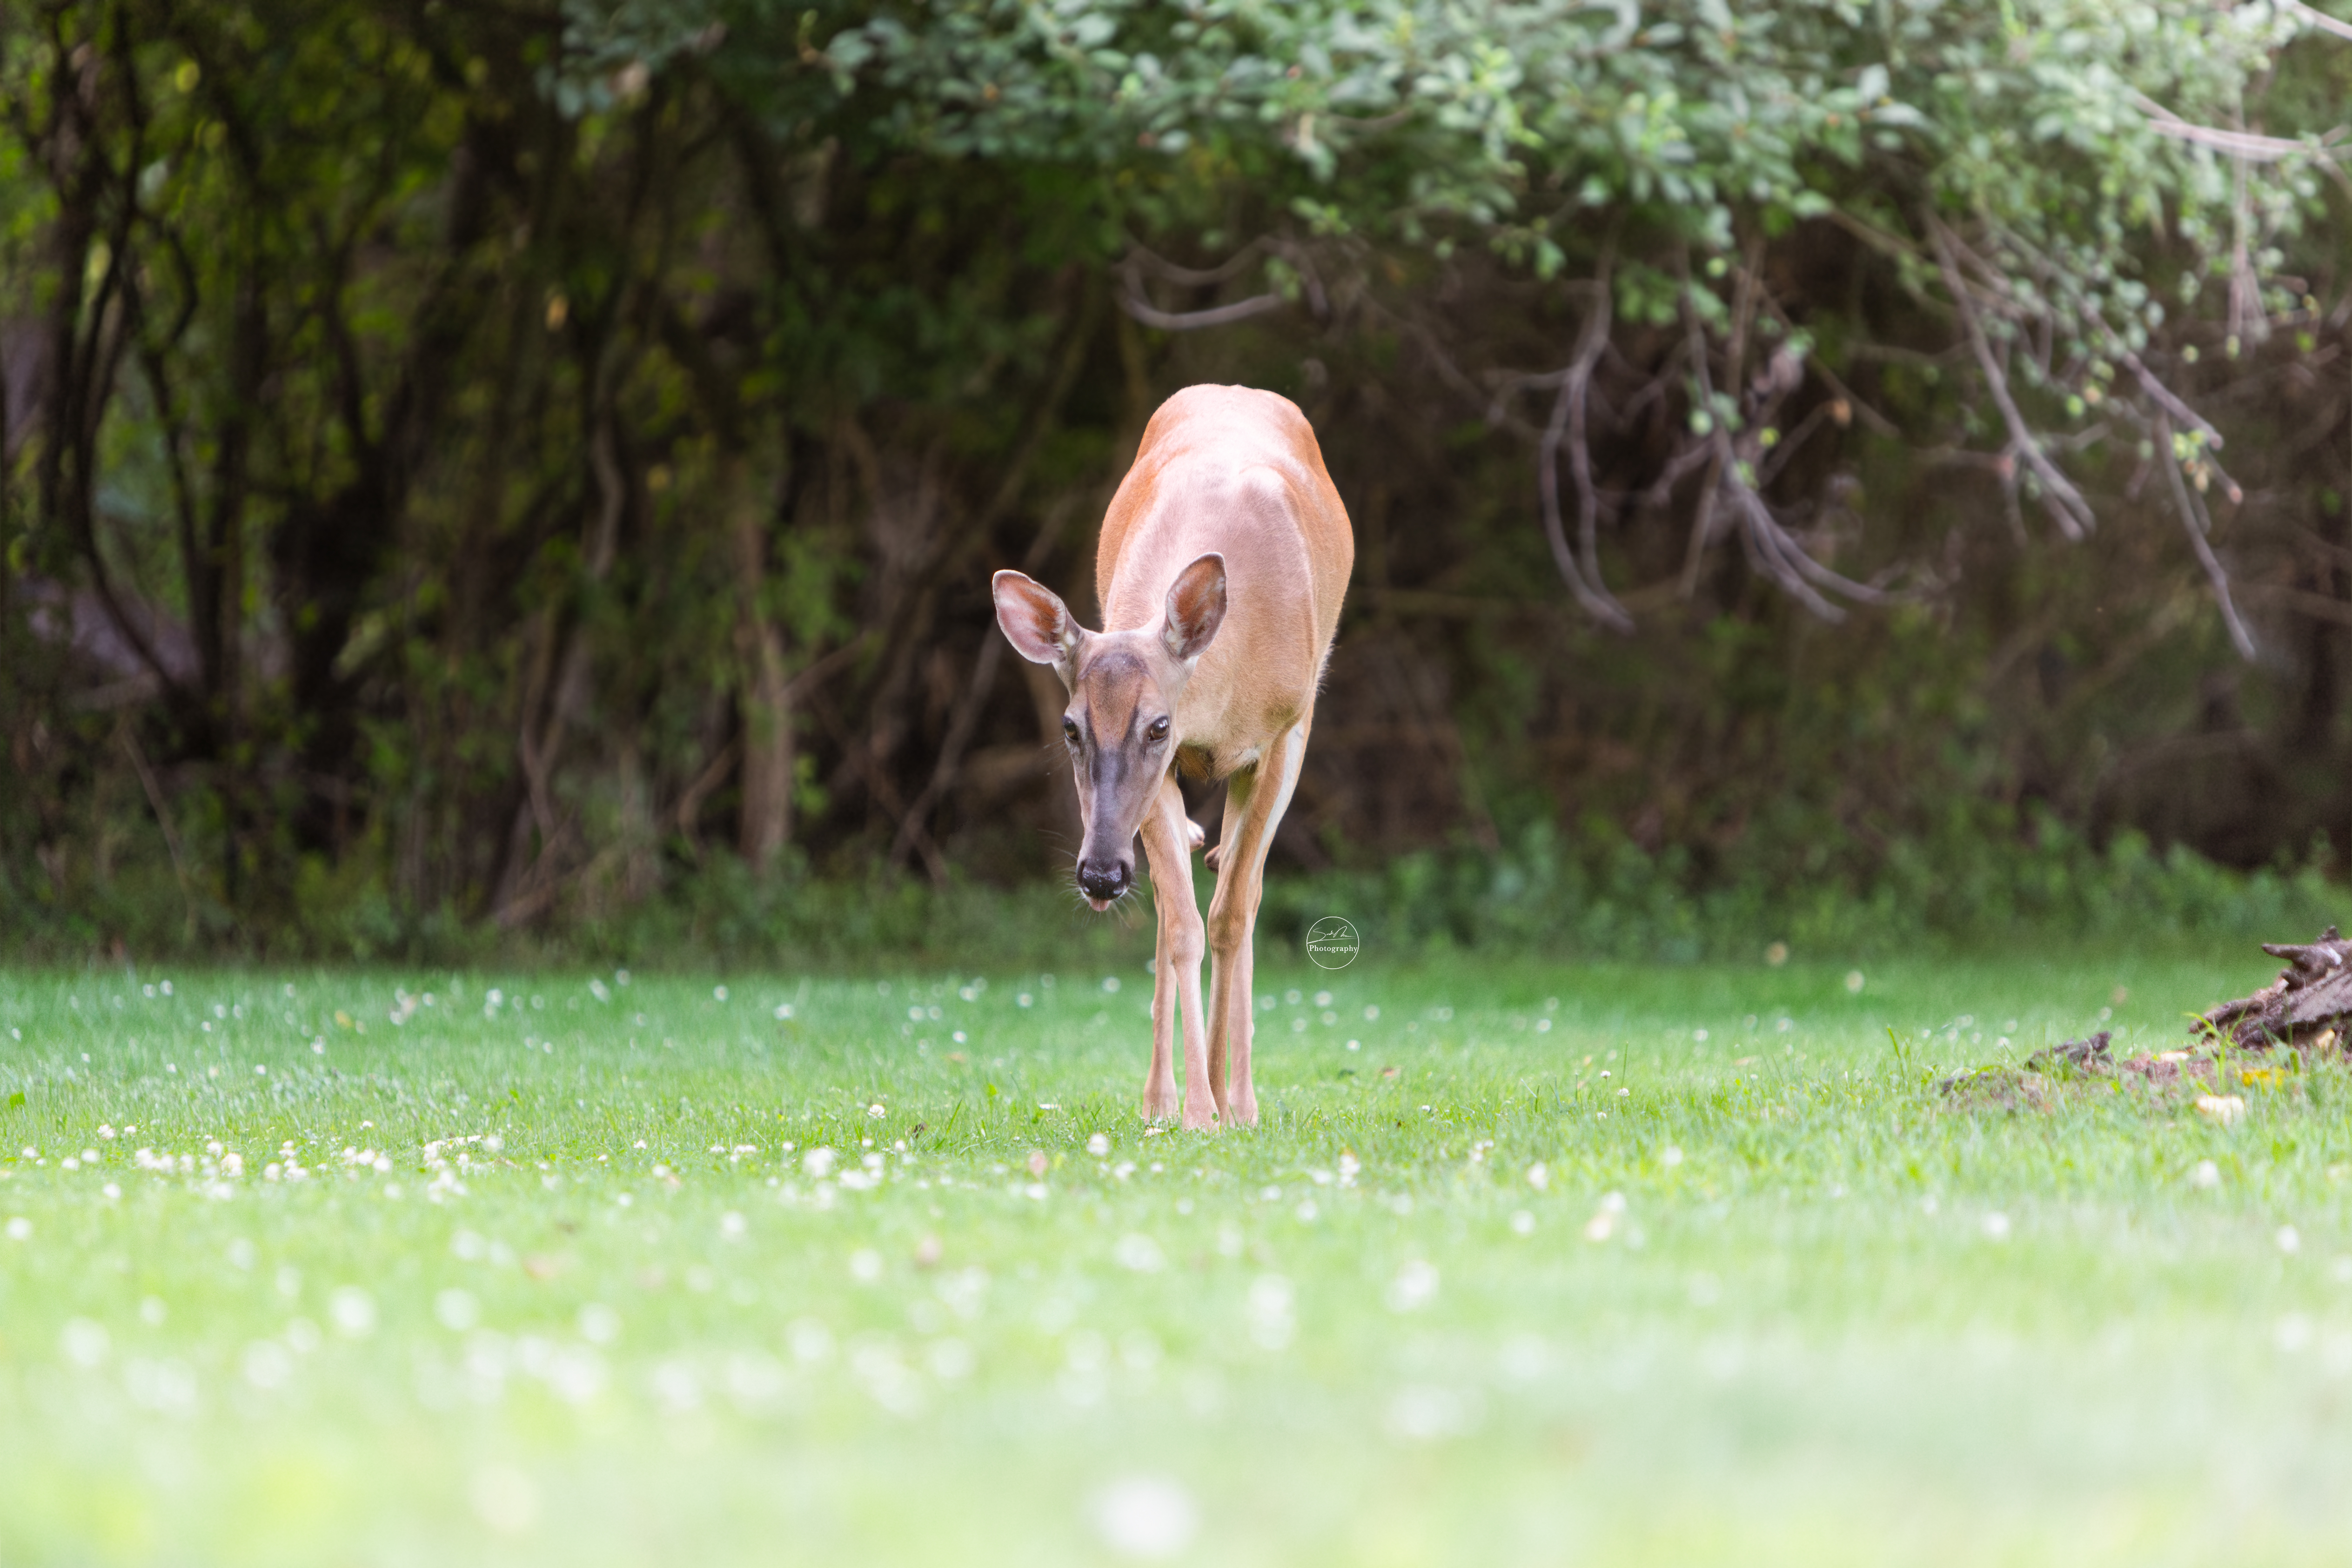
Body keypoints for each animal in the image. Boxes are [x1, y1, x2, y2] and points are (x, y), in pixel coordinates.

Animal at [991, 385, 1353, 1131]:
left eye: (1157, 724)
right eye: (1069, 728)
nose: (1099, 875)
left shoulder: (1282, 735)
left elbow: (1234, 916)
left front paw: (1231, 1102)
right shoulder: (1164, 778)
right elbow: (1184, 925)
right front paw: (1192, 1109)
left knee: (1241, 894)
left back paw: (1230, 1090)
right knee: (1171, 904)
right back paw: (1161, 1097)